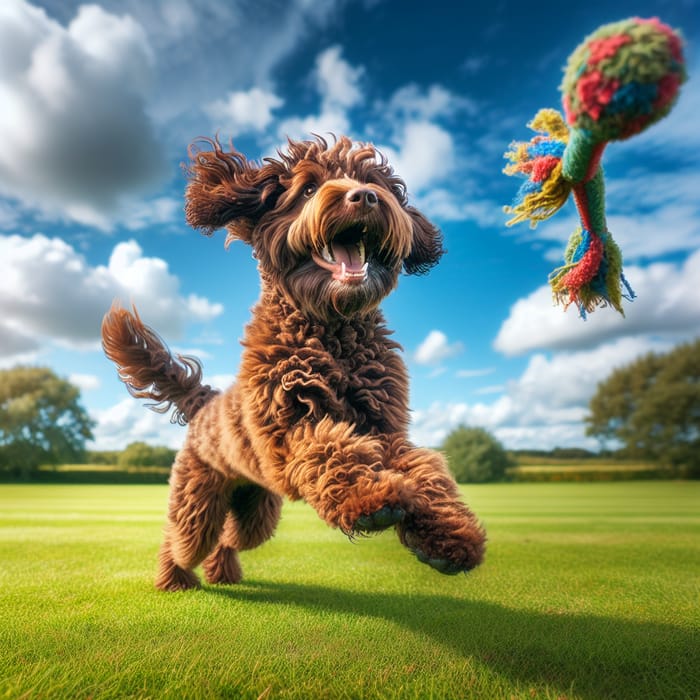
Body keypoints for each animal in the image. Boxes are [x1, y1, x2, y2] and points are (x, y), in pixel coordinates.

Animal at [102, 133, 486, 592]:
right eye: (307, 189)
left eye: (376, 183)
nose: (366, 197)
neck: (334, 333)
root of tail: (204, 402)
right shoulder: (288, 429)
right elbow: (328, 447)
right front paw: (370, 497)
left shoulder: (384, 427)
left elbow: (425, 467)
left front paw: (449, 535)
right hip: (199, 495)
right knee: (182, 537)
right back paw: (173, 578)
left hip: (256, 507)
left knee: (230, 536)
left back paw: (222, 571)